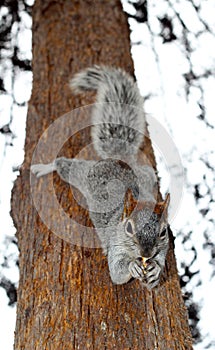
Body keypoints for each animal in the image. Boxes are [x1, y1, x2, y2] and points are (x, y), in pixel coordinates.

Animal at [31, 65, 170, 290]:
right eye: (128, 227)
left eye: (163, 232)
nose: (146, 253)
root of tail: (118, 160)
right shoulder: (115, 246)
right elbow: (117, 273)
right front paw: (132, 266)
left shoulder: (163, 250)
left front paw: (155, 271)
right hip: (84, 175)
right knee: (66, 167)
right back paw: (45, 167)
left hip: (145, 176)